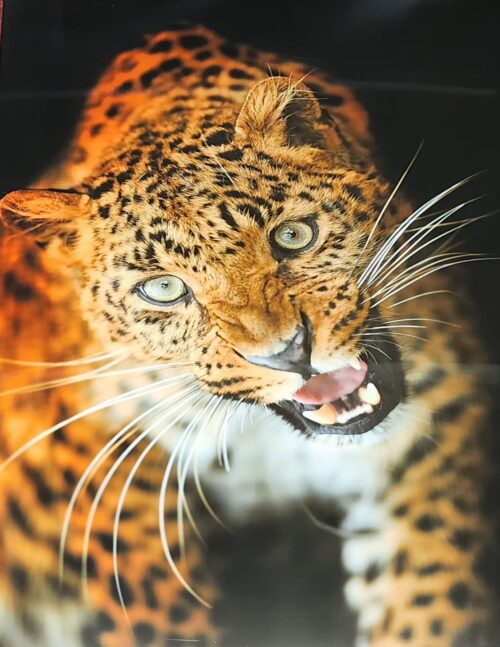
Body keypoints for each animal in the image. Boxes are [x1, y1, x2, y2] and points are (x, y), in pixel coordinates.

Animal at [0, 23, 499, 647]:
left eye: (293, 235)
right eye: (163, 290)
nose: (290, 353)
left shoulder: (435, 424)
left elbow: (428, 600)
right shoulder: (103, 458)